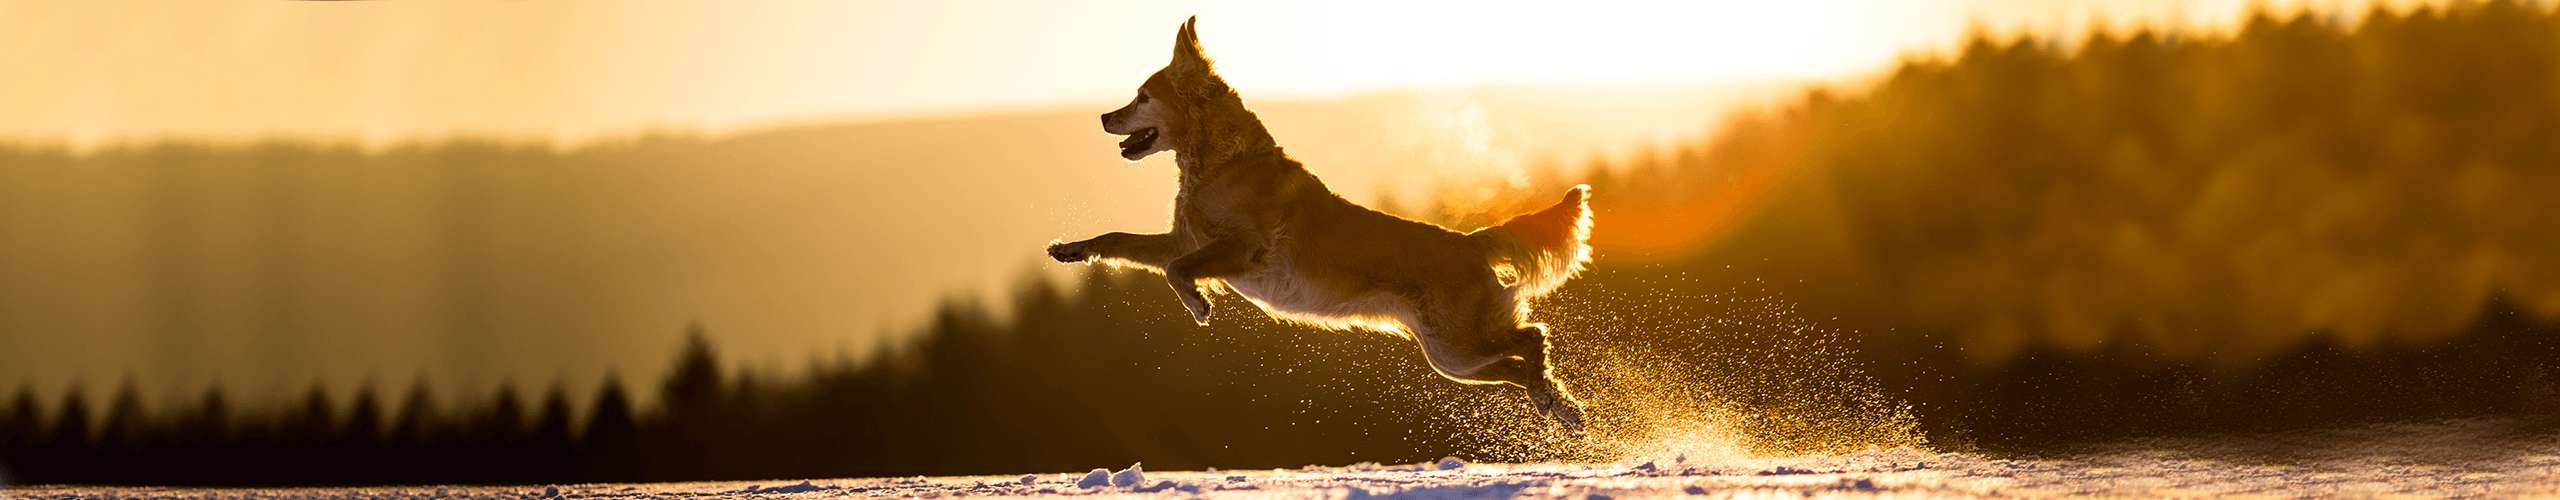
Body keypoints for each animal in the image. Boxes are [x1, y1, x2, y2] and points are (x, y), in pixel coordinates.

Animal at [1049, 15, 1587, 430]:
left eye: (1142, 96)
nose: (1103, 116)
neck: (1221, 162)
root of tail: (1470, 242)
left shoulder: (1240, 249)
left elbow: (1177, 272)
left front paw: (1199, 305)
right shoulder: (1182, 239)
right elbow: (1120, 239)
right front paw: (1070, 249)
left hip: (1460, 342)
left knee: (1534, 338)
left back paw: (1552, 396)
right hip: (1452, 357)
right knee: (1519, 362)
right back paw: (1557, 404)